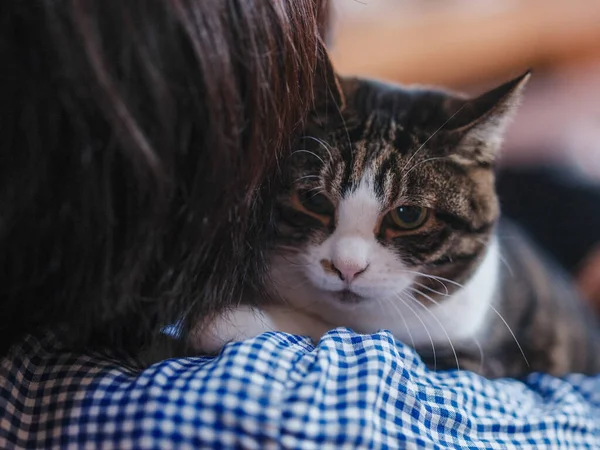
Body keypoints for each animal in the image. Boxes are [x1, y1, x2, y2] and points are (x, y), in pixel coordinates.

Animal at [191, 68, 600, 378]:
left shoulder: (477, 360)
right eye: (314, 200)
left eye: (409, 216)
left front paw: (231, 319)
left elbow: (358, 338)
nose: (346, 267)